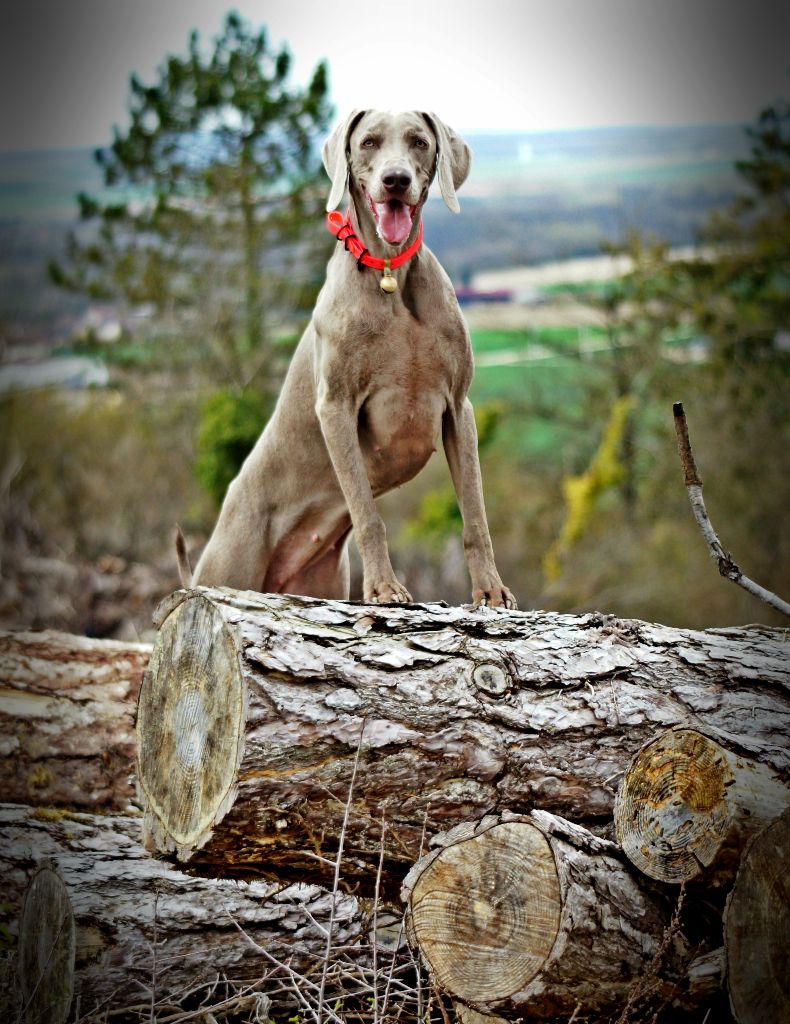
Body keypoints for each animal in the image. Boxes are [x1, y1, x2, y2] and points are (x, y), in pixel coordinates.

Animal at [177, 112, 516, 606]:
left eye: (419, 142)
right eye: (369, 142)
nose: (396, 180)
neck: (391, 274)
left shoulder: (458, 406)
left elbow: (474, 512)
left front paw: (491, 591)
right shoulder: (336, 406)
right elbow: (368, 515)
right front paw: (384, 589)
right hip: (231, 564)